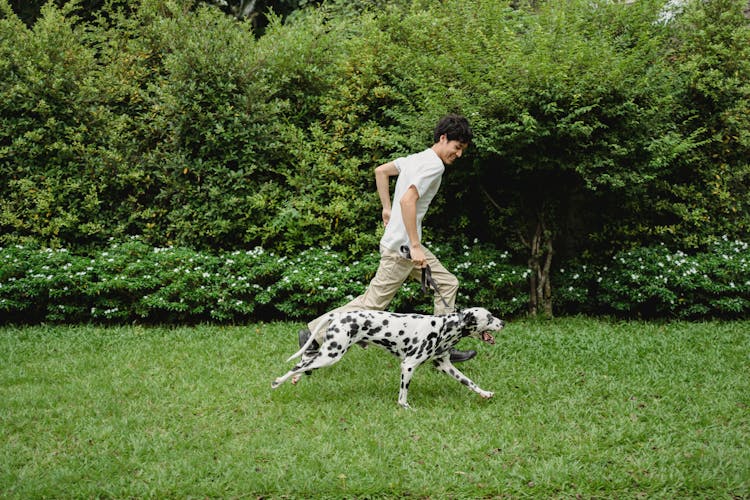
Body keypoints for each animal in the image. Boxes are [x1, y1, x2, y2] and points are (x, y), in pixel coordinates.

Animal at [270, 306, 506, 408]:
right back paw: (277, 382)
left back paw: (295, 378)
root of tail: (338, 315)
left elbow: (469, 382)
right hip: (331, 355)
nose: (503, 322)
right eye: (489, 317)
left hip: (328, 353)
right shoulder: (408, 365)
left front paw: (485, 393)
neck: (443, 328)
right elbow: (403, 395)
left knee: (304, 362)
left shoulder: (445, 366)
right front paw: (405, 408)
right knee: (297, 365)